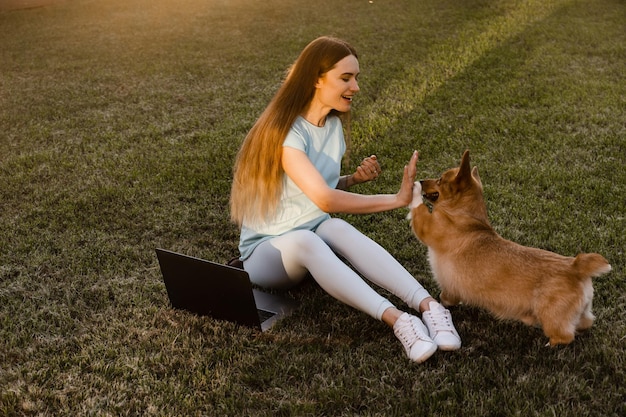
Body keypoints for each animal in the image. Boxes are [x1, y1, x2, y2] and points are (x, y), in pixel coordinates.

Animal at [408, 150, 608, 344]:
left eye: (440, 180)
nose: (421, 180)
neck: (466, 216)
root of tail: (576, 266)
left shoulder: (427, 228)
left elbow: (417, 211)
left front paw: (413, 188)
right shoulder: (451, 289)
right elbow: (448, 297)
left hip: (551, 317)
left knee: (564, 336)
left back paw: (549, 344)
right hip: (583, 312)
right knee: (586, 322)